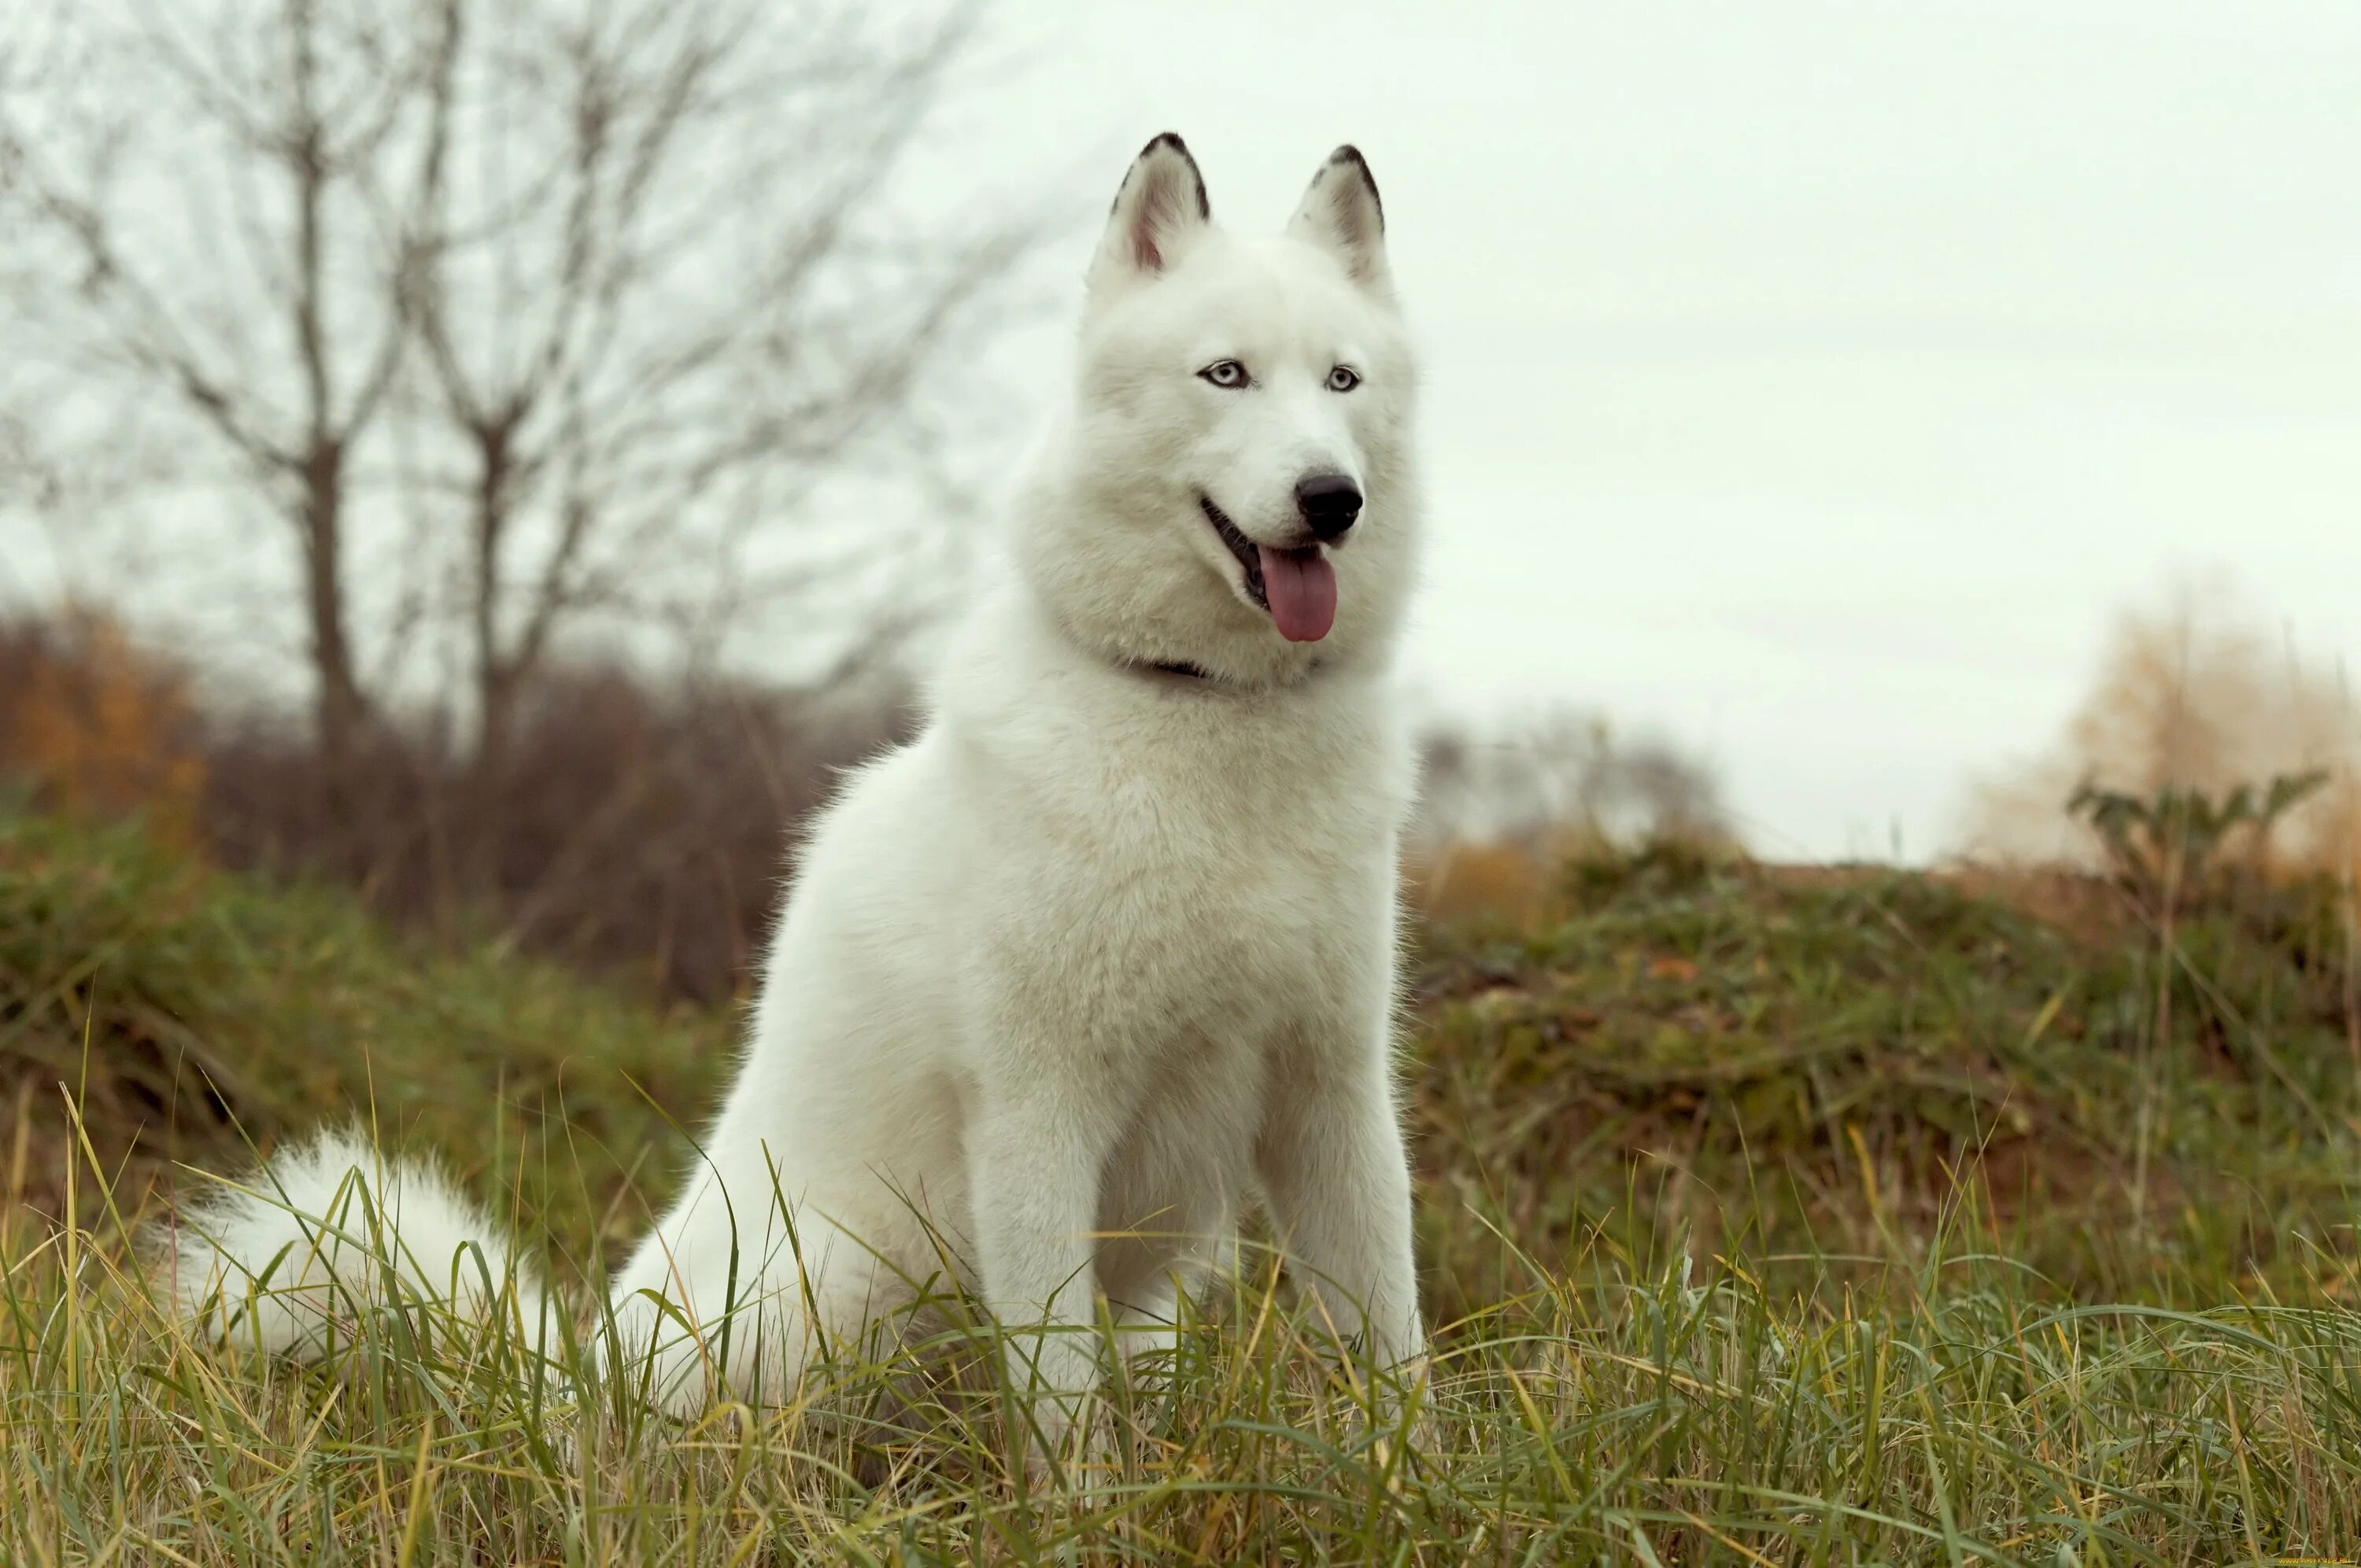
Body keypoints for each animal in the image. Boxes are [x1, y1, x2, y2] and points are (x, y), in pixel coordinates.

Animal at [166, 137, 1426, 1454]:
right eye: (1226, 374)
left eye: (1342, 380)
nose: (1332, 496)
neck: (1207, 716)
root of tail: (572, 1392)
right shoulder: (1036, 1116)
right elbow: (1059, 1404)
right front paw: (1091, 1500)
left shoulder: (1337, 1100)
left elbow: (1393, 1348)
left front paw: (1407, 1482)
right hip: (858, 1276)